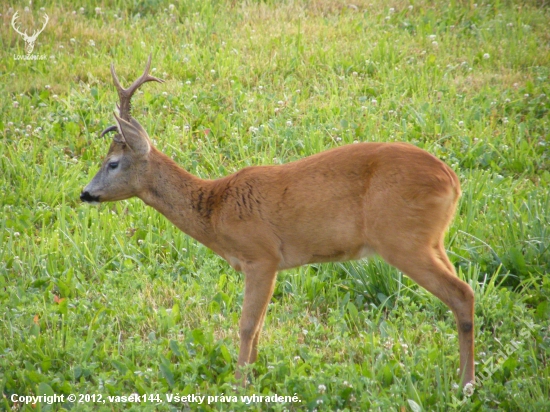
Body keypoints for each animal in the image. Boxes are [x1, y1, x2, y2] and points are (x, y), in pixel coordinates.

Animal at [80, 56, 476, 388]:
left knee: (461, 293)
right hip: (432, 239)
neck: (216, 207)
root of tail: (452, 180)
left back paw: (466, 383)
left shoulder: (261, 256)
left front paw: (239, 384)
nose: (85, 193)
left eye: (112, 163)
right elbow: (258, 326)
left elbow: (246, 326)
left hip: (401, 240)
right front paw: (253, 375)